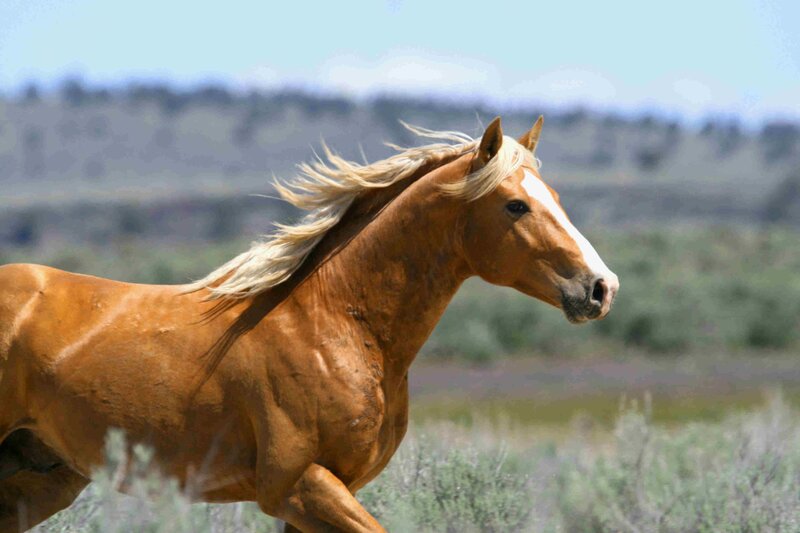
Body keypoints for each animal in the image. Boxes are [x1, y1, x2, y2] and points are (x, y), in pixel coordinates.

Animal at [0, 116, 618, 532]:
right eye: (516, 205)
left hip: (42, 478)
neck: (334, 322)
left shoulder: (313, 497)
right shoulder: (298, 486)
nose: (600, 287)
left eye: (554, 195)